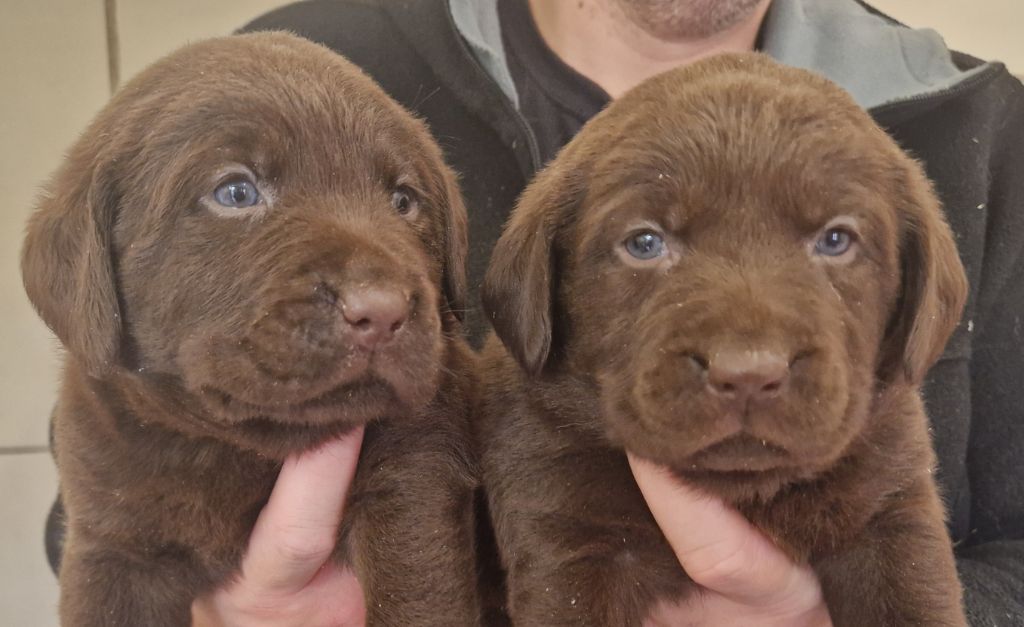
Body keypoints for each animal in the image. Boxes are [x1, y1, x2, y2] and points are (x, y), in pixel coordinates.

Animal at [22, 32, 480, 626]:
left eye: (405, 200)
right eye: (236, 193)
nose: (380, 310)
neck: (233, 444)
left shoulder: (414, 479)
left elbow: (417, 596)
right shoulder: (113, 541)